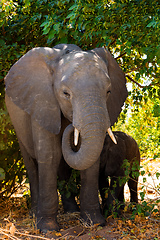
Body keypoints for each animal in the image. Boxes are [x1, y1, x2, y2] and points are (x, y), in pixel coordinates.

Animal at [4, 43, 128, 232]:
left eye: (108, 91)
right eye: (65, 94)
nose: (71, 126)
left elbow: (89, 161)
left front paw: (95, 223)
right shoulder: (42, 102)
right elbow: (50, 155)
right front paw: (48, 229)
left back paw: (71, 211)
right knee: (31, 163)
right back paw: (34, 214)